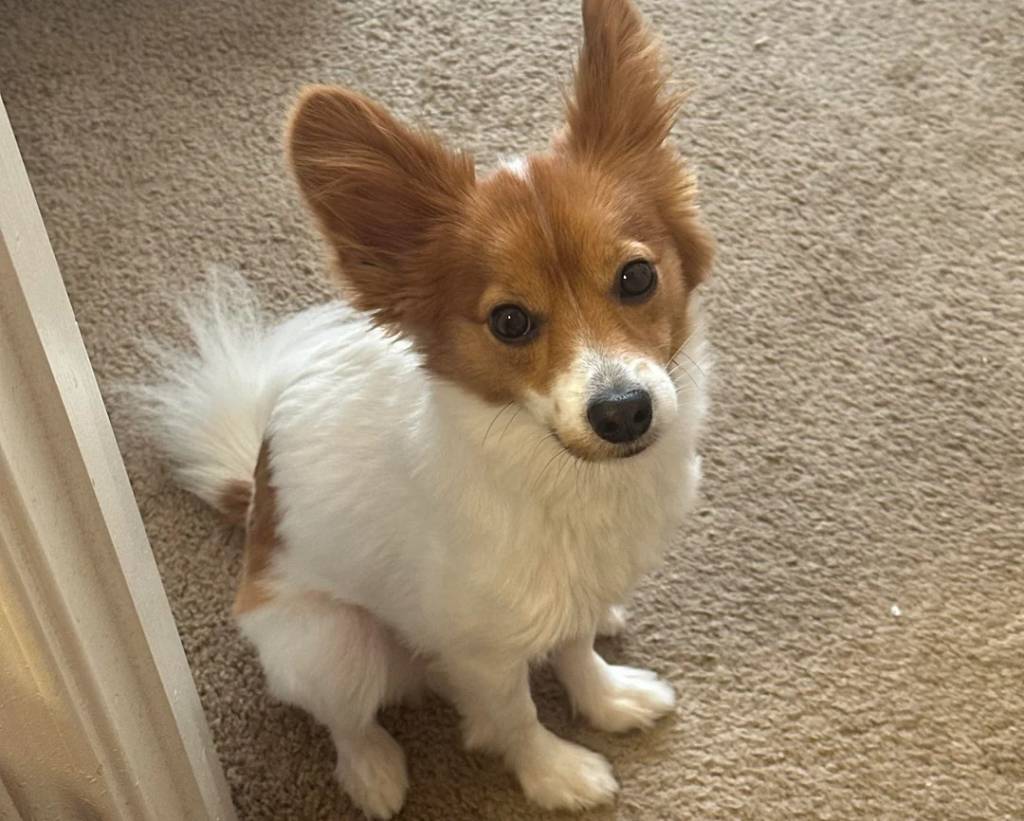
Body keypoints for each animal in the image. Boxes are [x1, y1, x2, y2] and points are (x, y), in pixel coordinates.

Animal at [139, 0, 713, 815]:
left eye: (637, 278)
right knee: (347, 719)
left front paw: (605, 700)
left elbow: (573, 649)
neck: (566, 477)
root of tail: (252, 502)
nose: (623, 411)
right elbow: (516, 713)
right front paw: (556, 773)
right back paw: (375, 772)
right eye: (510, 322)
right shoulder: (480, 648)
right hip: (331, 644)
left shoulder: (565, 591)